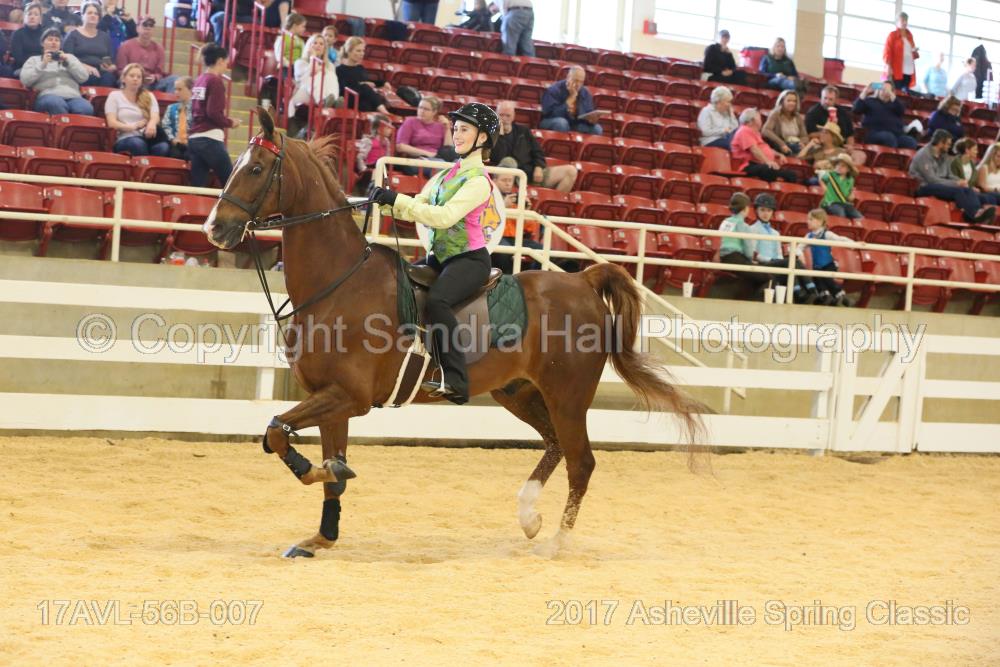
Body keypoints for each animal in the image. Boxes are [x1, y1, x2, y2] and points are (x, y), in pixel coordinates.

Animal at [205, 108, 704, 557]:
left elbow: (276, 431)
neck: (341, 282)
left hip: (568, 395)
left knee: (582, 461)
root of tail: (582, 280)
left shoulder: (350, 397)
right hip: (518, 392)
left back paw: (557, 542)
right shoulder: (330, 399)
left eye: (255, 168)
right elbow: (321, 461)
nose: (214, 228)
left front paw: (315, 470)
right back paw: (529, 516)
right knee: (555, 445)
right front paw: (322, 534)